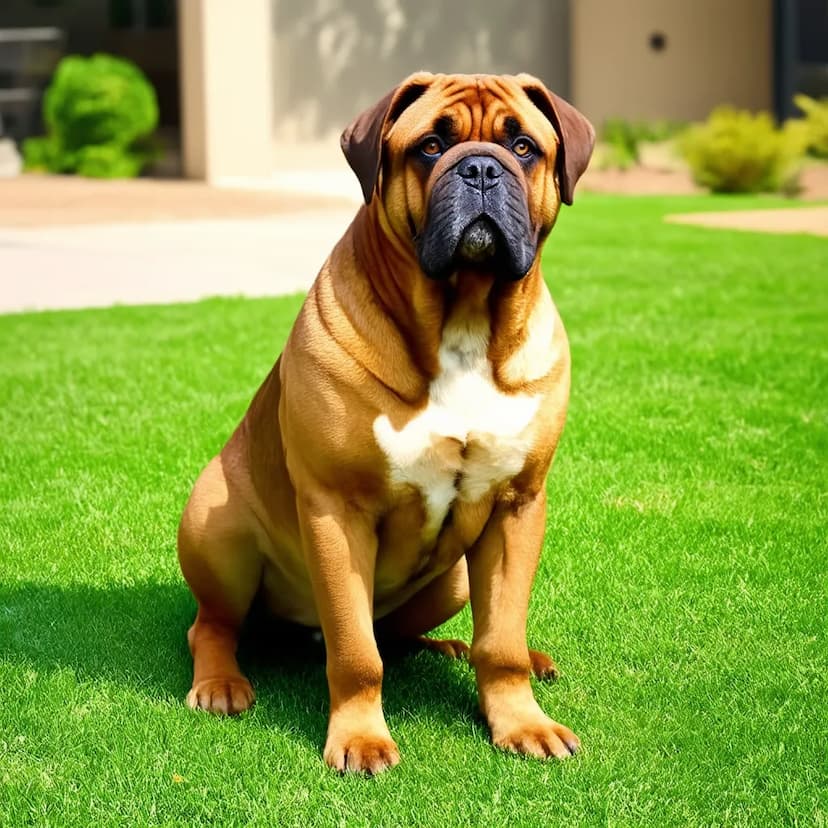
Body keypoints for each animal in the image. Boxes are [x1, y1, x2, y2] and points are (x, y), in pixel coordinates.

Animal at [180, 74, 596, 772]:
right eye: (430, 146)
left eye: (523, 146)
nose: (481, 168)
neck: (463, 318)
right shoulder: (337, 510)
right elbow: (355, 654)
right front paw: (360, 737)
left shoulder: (518, 506)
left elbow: (502, 641)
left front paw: (521, 719)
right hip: (217, 529)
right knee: (215, 626)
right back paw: (220, 684)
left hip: (454, 581)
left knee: (413, 633)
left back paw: (466, 651)